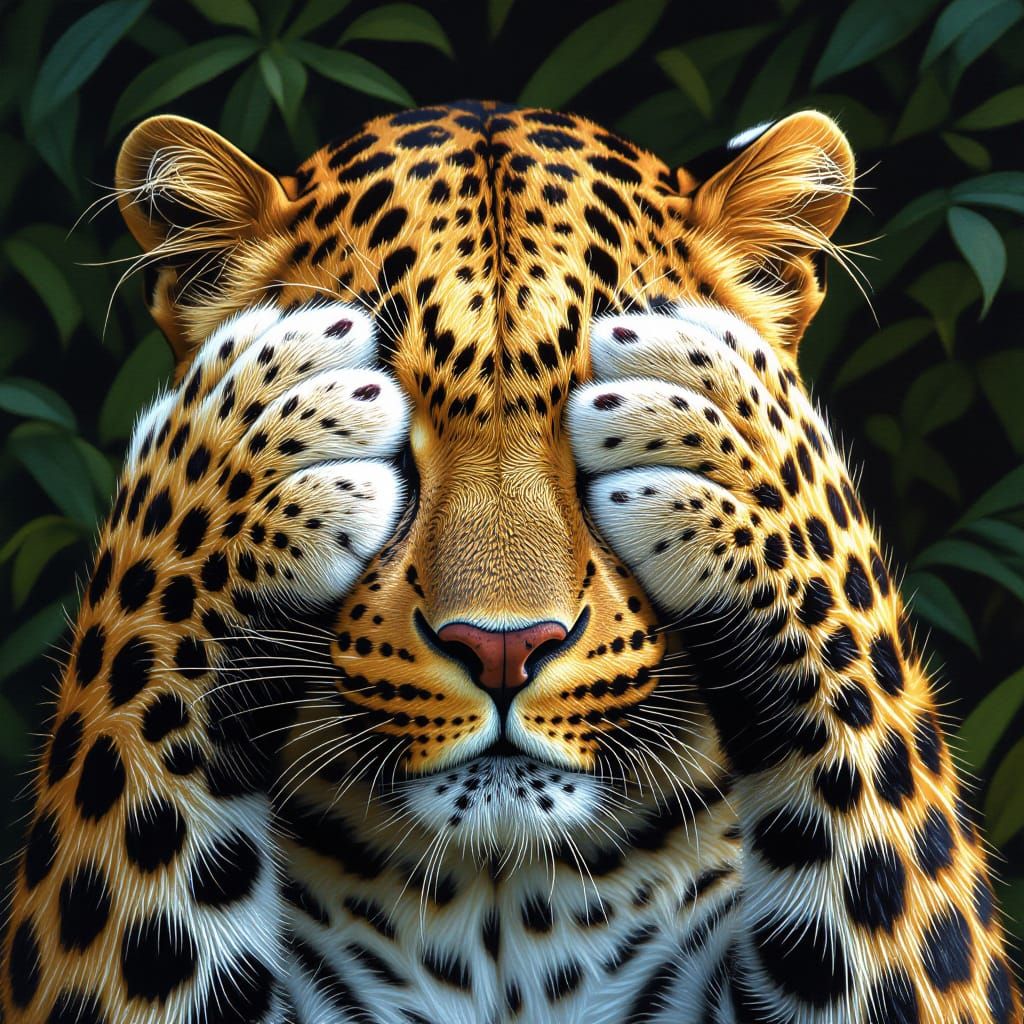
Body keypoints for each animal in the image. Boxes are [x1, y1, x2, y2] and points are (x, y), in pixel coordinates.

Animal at [2, 99, 1019, 1024]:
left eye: (602, 430)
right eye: (386, 428)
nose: (503, 650)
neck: (499, 899)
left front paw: (736, 421)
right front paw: (244, 414)